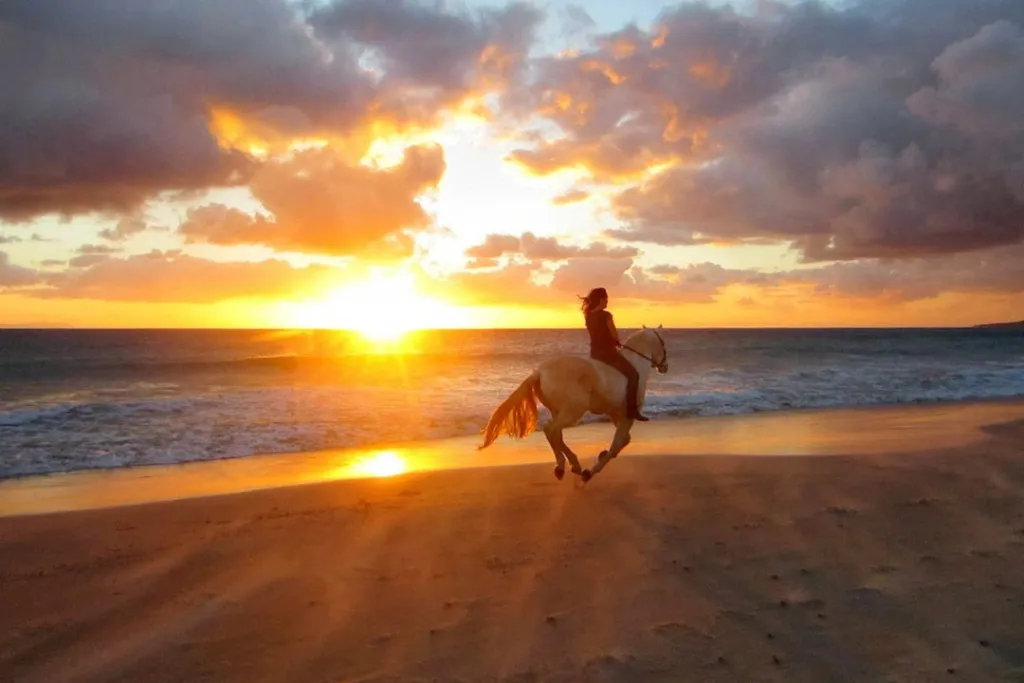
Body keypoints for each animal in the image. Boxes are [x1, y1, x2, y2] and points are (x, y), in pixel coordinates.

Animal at [478, 326, 669, 482]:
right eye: (664, 343)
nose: (664, 367)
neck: (636, 365)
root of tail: (540, 372)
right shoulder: (627, 416)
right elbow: (618, 443)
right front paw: (591, 472)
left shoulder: (617, 414)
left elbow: (624, 441)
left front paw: (601, 456)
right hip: (573, 411)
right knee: (551, 429)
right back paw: (564, 467)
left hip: (559, 410)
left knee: (556, 434)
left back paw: (572, 465)